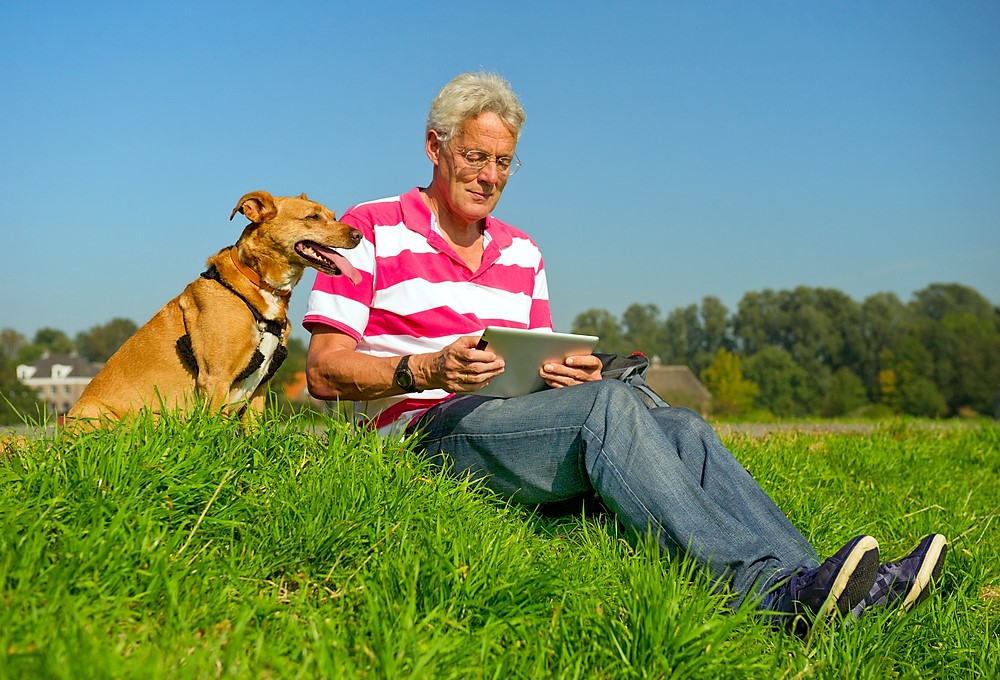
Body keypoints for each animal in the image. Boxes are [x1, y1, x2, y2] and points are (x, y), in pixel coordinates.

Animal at [68, 191, 362, 424]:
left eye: (334, 216)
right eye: (313, 217)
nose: (358, 234)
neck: (257, 287)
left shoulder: (260, 388)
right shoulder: (215, 378)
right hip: (102, 415)